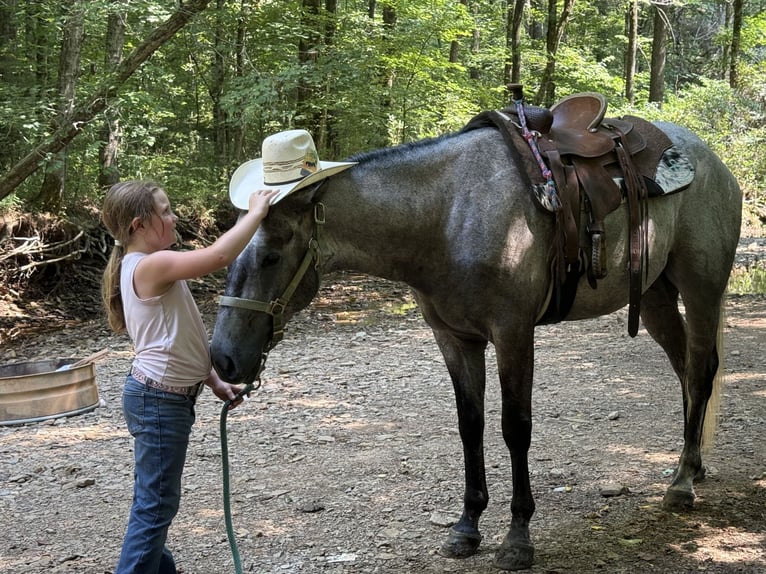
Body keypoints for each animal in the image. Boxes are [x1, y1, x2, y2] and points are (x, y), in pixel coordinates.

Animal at [210, 118, 742, 571]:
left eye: (271, 256)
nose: (223, 359)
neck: (446, 217)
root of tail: (714, 161)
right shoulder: (455, 340)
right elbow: (471, 427)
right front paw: (467, 528)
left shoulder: (512, 334)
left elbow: (515, 428)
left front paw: (518, 538)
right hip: (653, 295)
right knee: (684, 369)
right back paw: (690, 465)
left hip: (701, 287)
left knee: (700, 370)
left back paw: (682, 485)